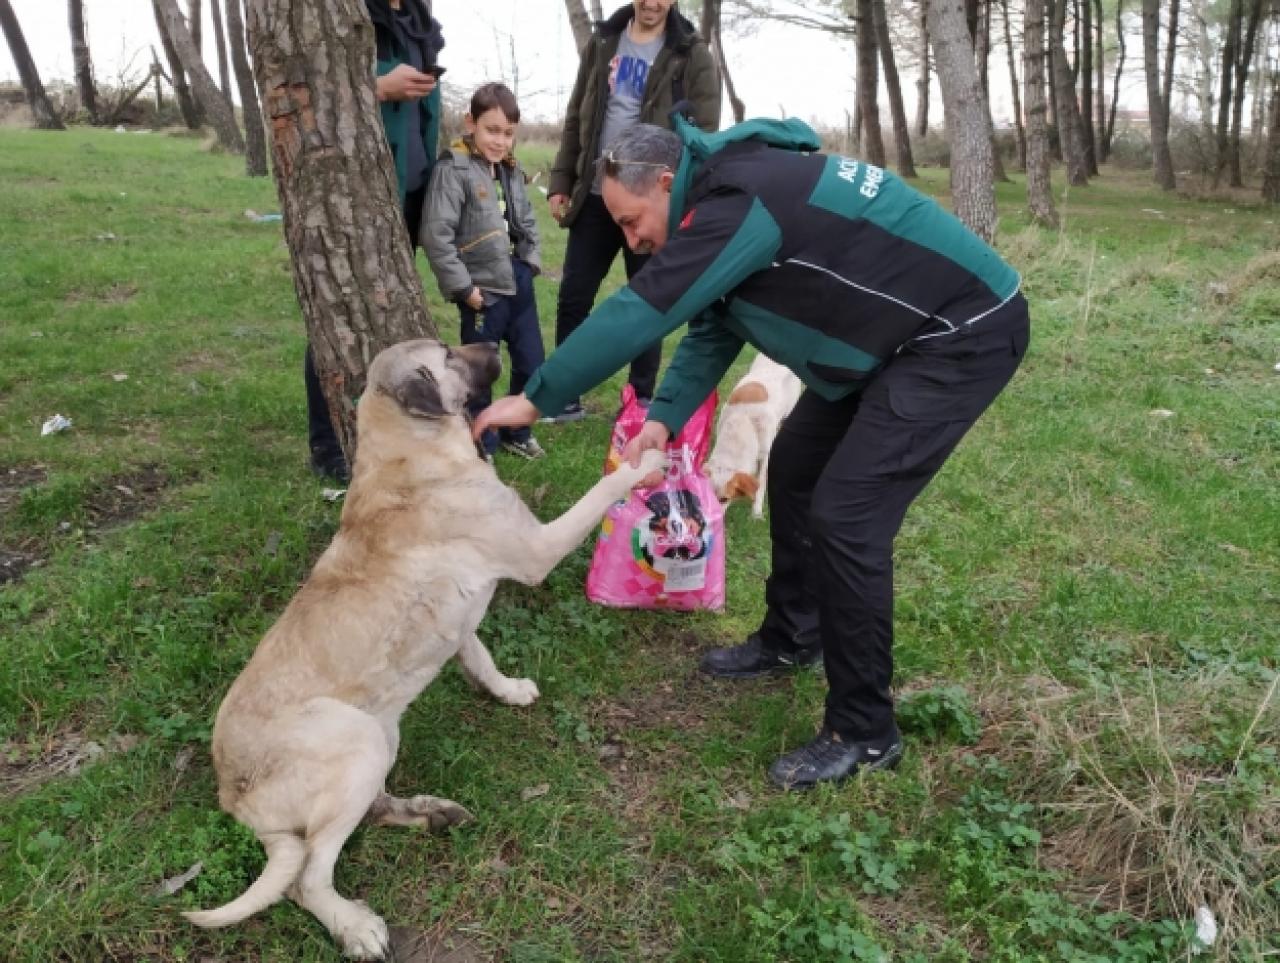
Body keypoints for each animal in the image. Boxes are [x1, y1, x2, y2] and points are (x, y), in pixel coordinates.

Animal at [186, 338, 670, 957]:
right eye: (447, 353)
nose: (492, 340)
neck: (408, 448)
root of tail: (231, 795)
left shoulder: (461, 621)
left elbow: (481, 659)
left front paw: (508, 690)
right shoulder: (536, 548)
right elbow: (599, 492)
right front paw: (645, 464)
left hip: (380, 737)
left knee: (366, 816)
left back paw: (428, 814)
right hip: (358, 740)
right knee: (306, 878)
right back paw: (355, 926)